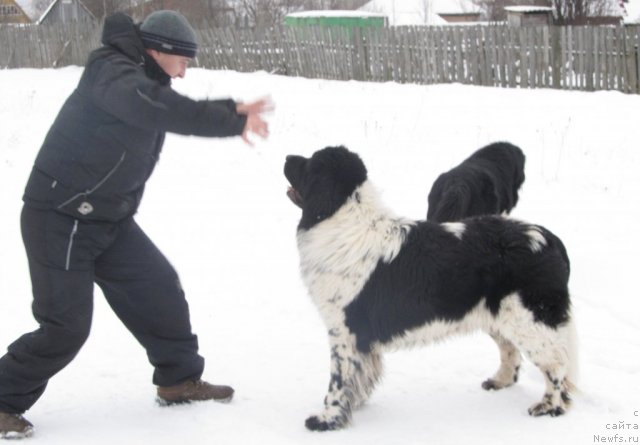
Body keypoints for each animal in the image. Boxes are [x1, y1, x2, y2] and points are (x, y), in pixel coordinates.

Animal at [284, 147, 576, 432]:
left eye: (310, 162)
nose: (287, 157)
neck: (342, 220)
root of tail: (549, 238)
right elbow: (360, 375)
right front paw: (354, 405)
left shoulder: (345, 330)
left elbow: (339, 379)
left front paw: (326, 419)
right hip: (500, 315)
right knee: (512, 351)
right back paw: (500, 381)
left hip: (530, 319)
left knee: (557, 363)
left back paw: (550, 406)